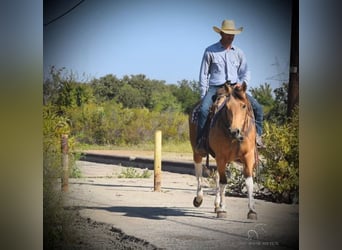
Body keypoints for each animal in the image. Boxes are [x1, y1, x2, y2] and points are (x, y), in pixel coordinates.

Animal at [188, 82, 258, 219]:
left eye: (243, 106)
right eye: (227, 107)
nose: (234, 131)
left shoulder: (248, 156)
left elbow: (249, 181)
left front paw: (252, 210)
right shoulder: (221, 157)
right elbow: (223, 181)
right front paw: (222, 209)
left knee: (217, 176)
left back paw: (216, 204)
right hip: (197, 151)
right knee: (199, 172)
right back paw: (199, 198)